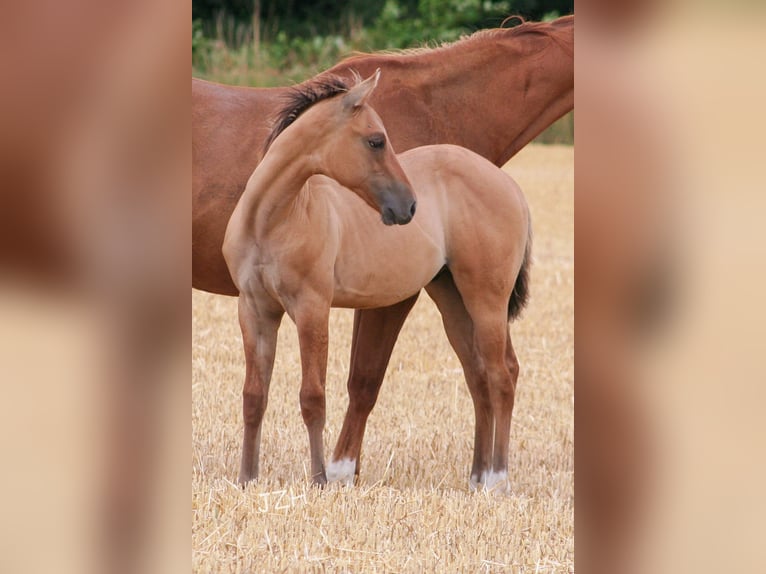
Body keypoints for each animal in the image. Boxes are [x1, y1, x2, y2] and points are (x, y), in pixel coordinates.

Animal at [195, 14, 572, 486]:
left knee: (500, 374)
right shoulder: (255, 307)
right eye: (376, 140)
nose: (408, 206)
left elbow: (321, 393)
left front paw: (325, 479)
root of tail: (509, 186)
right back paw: (479, 477)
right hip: (454, 295)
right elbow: (254, 395)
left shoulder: (315, 307)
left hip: (483, 297)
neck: (274, 217)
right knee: (483, 372)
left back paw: (495, 481)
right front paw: (249, 480)